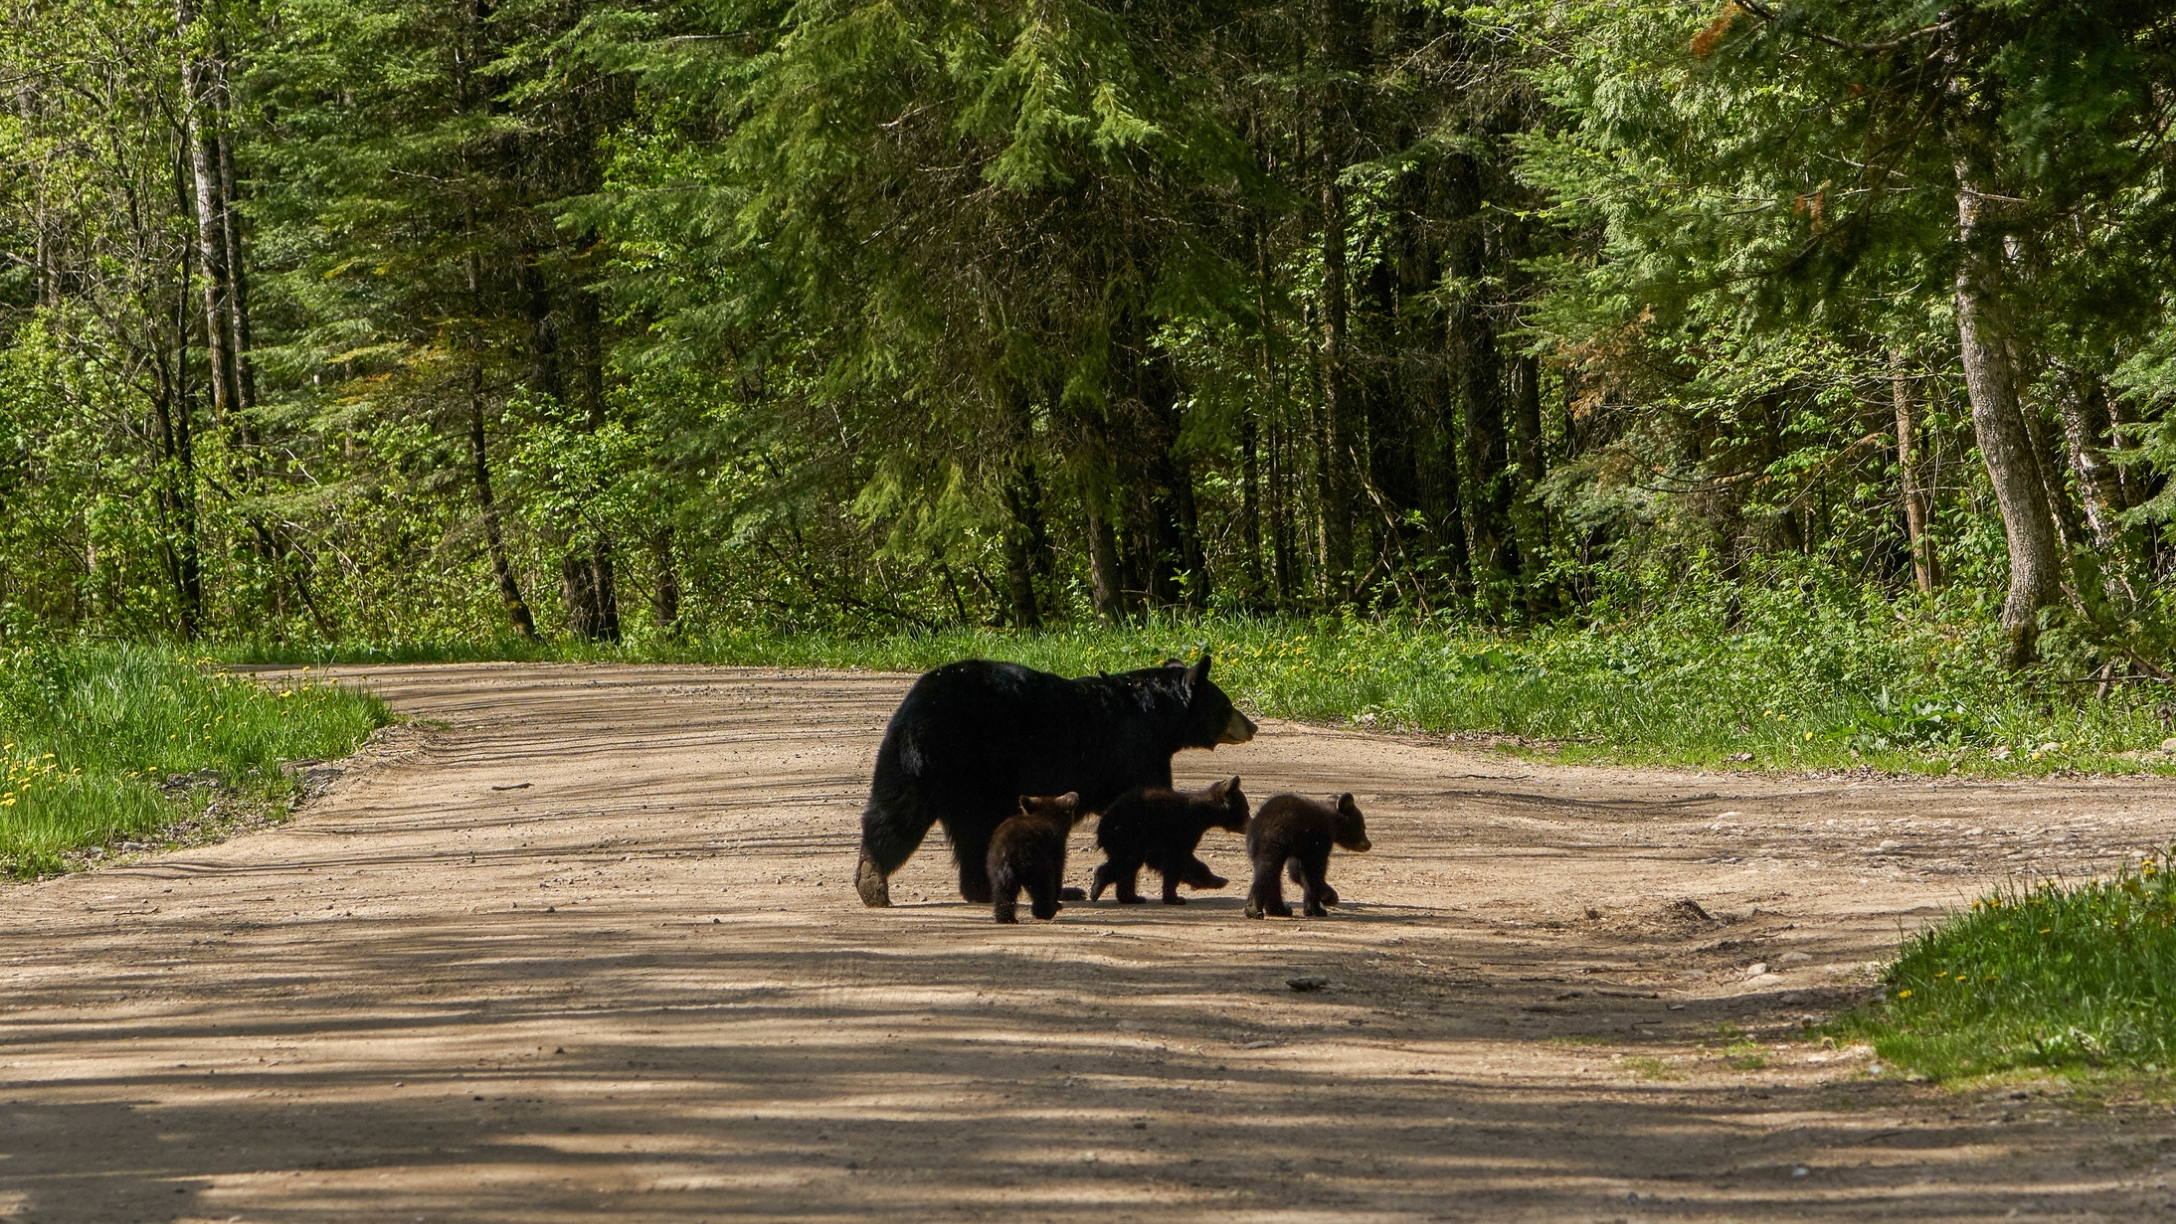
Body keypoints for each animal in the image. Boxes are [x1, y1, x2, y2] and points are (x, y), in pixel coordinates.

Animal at [1083, 775, 1244, 901]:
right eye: (1246, 809)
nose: (1247, 823)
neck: (1204, 815)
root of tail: (1103, 822)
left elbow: (1171, 861)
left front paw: (1216, 880)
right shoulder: (1183, 829)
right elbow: (1176, 861)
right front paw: (1175, 898)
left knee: (1128, 867)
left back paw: (1132, 897)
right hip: (1127, 834)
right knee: (1128, 861)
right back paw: (1098, 887)